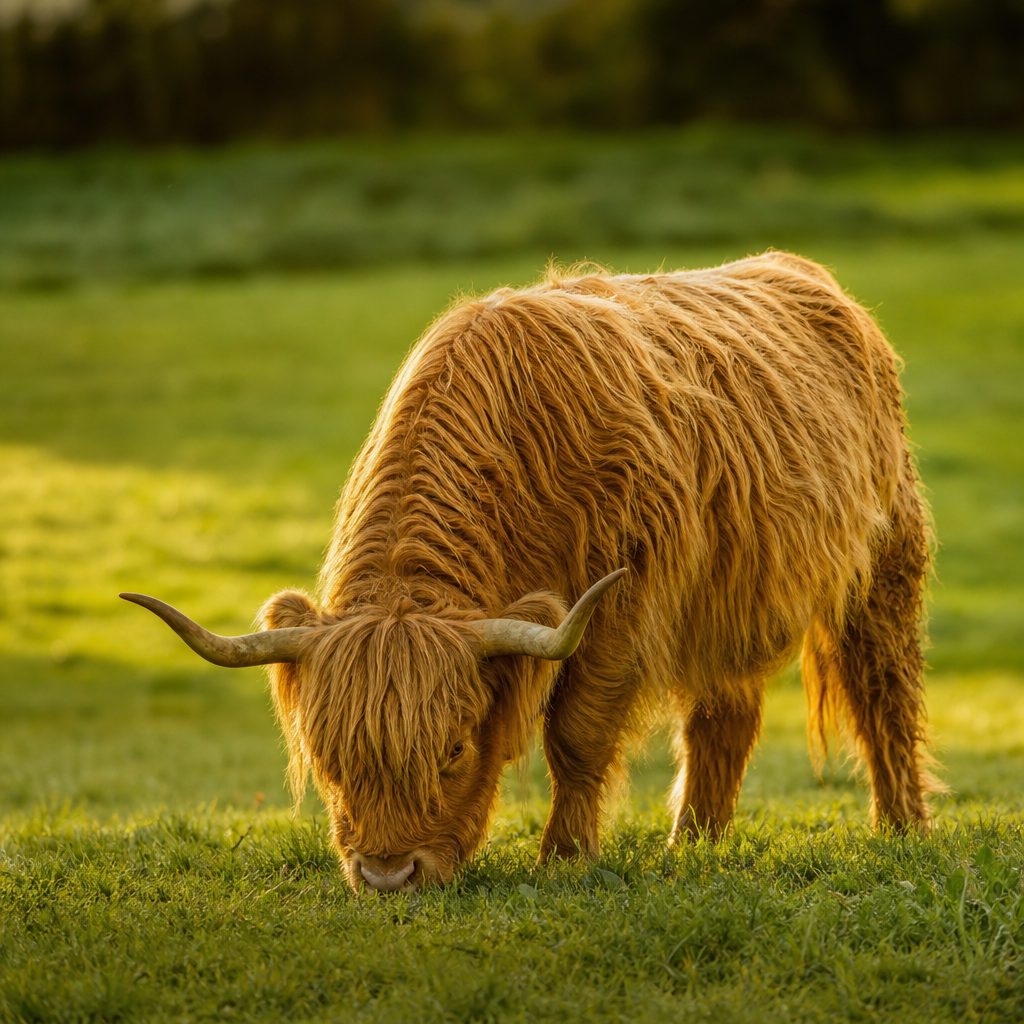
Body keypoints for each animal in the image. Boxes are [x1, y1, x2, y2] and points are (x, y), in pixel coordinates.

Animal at [122, 251, 939, 893]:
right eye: (329, 757)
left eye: (454, 748)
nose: (387, 876)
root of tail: (806, 276)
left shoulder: (618, 608)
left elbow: (577, 736)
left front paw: (565, 859)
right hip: (726, 602)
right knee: (724, 718)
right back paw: (691, 847)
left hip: (885, 564)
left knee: (883, 693)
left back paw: (903, 831)